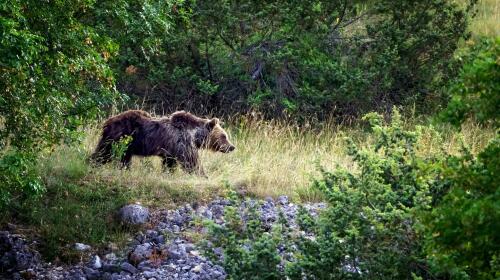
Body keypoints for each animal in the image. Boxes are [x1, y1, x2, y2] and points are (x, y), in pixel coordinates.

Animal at [91, 110, 235, 174]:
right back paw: (92, 164)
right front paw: (201, 174)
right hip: (119, 138)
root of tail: (107, 122)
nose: (232, 147)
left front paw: (168, 173)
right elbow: (191, 161)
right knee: (104, 153)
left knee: (122, 158)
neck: (195, 136)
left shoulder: (171, 150)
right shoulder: (183, 143)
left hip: (126, 146)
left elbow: (169, 163)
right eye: (224, 136)